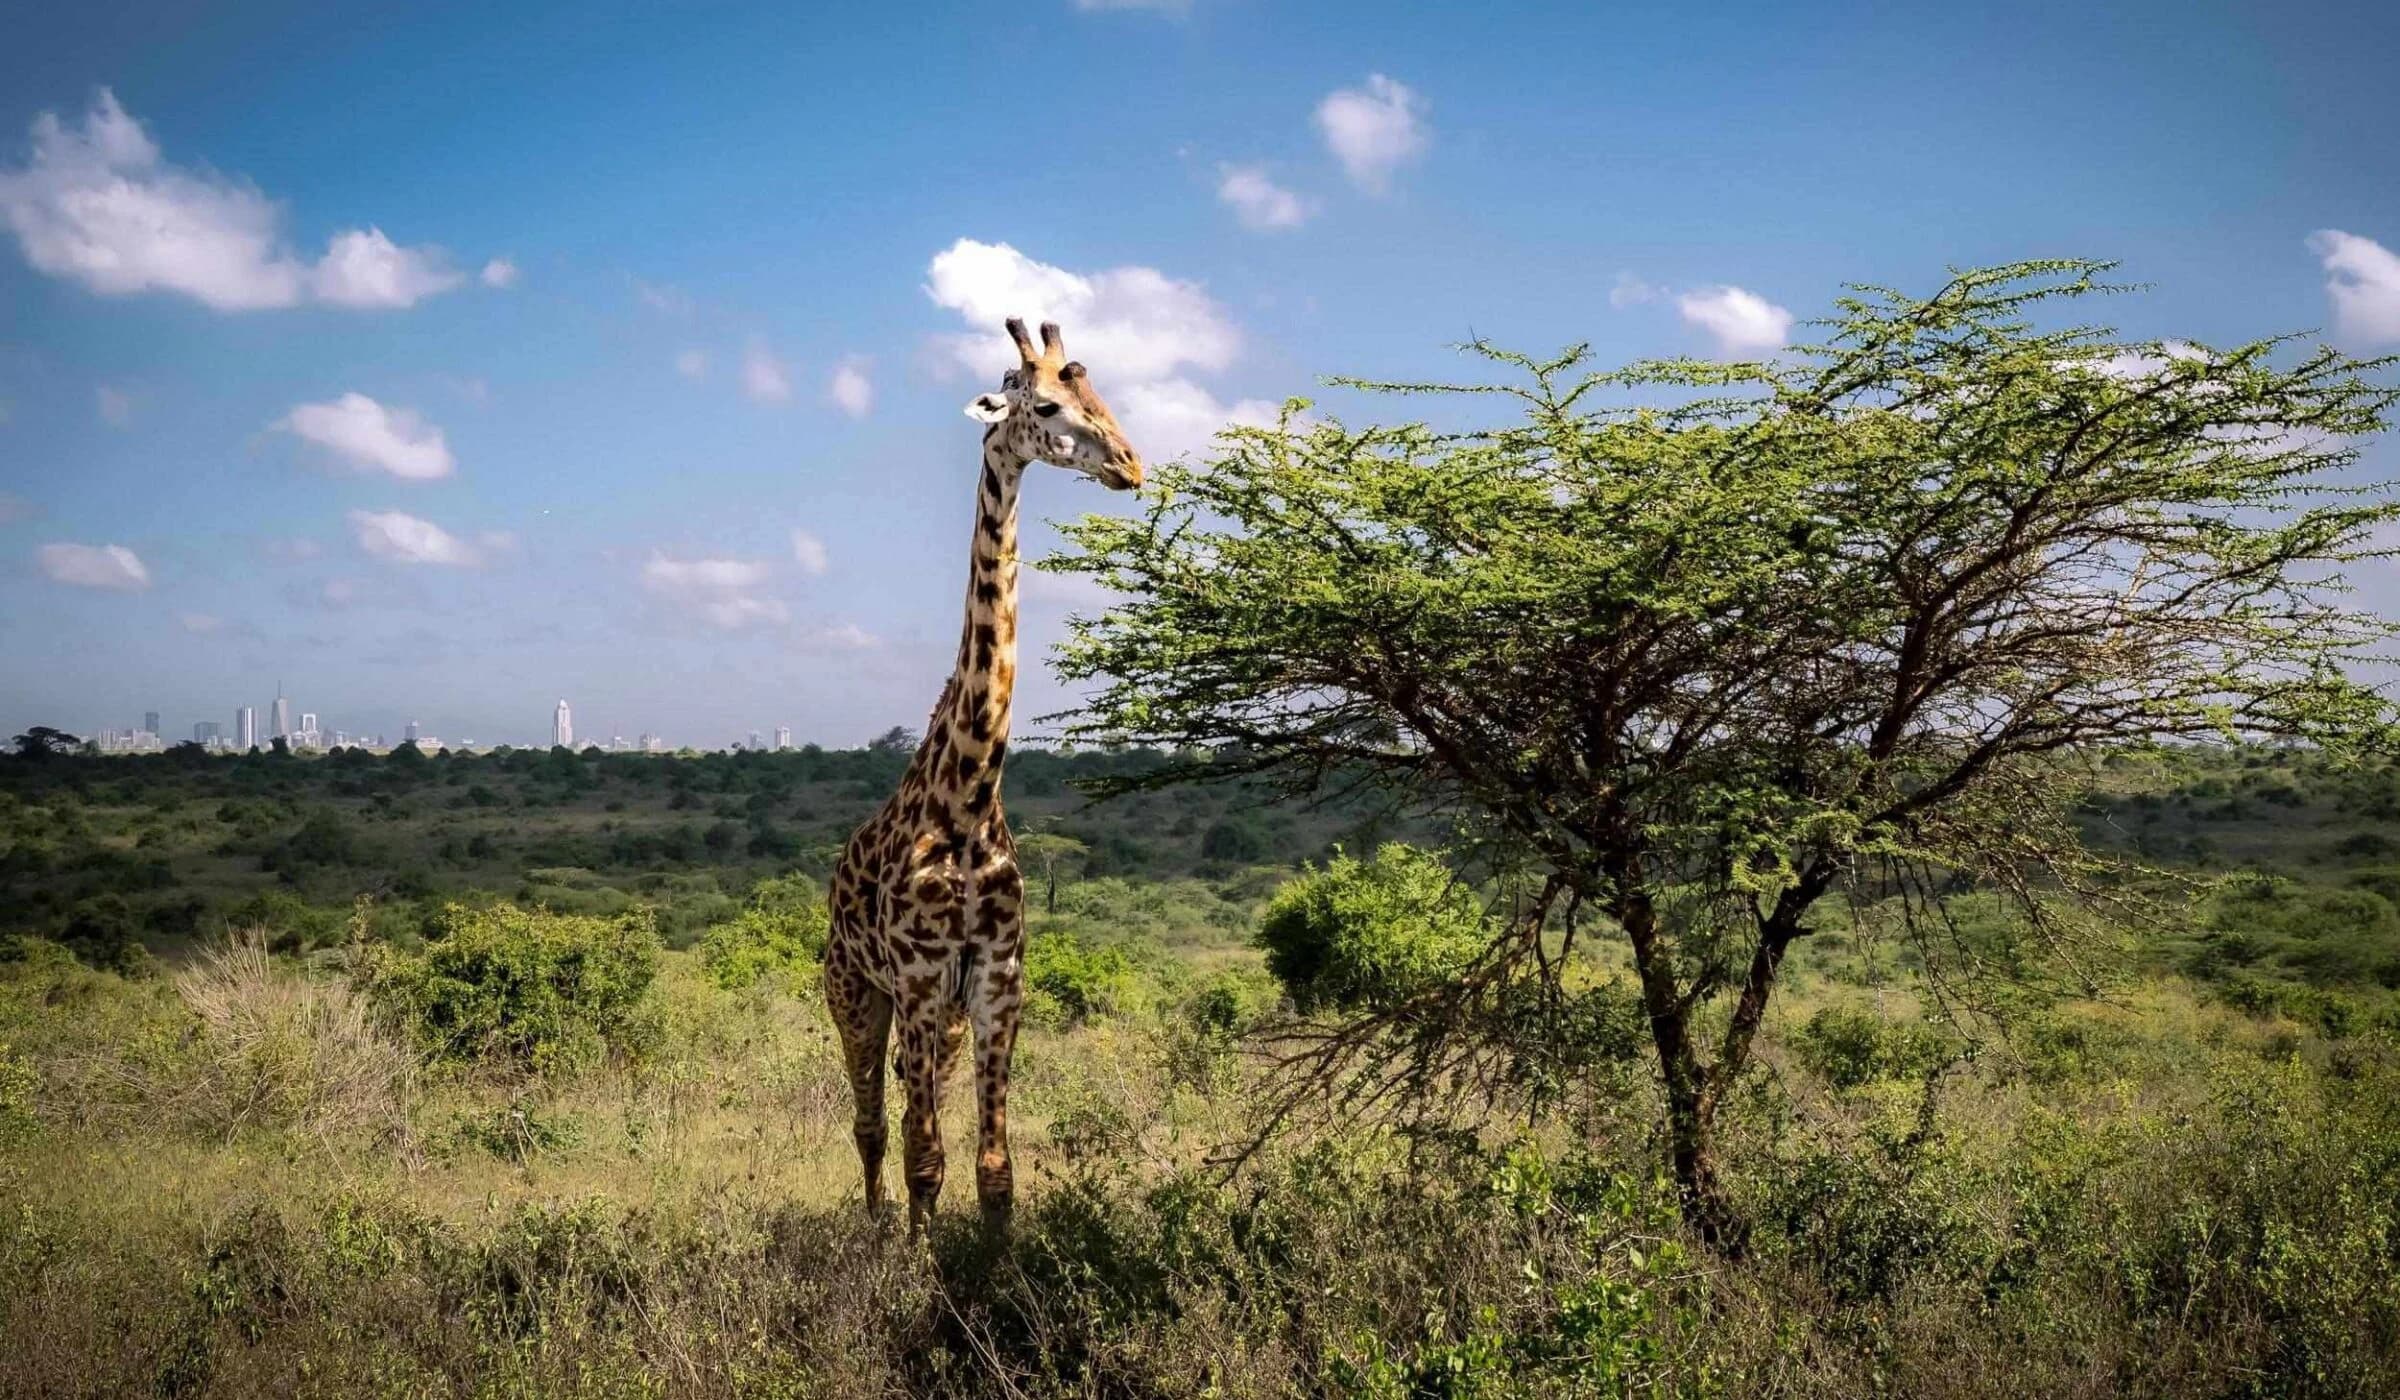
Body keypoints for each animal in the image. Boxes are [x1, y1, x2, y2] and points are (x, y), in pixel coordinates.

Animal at [823, 317, 1142, 1235]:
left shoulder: (998, 982)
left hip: (942, 1018)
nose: (1131, 465)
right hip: (852, 991)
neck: (967, 797)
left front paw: (994, 1262)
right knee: (871, 1123)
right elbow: (925, 1156)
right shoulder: (922, 980)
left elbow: (994, 1167)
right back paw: (877, 1224)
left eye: (1095, 389)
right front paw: (917, 1259)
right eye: (1048, 405)